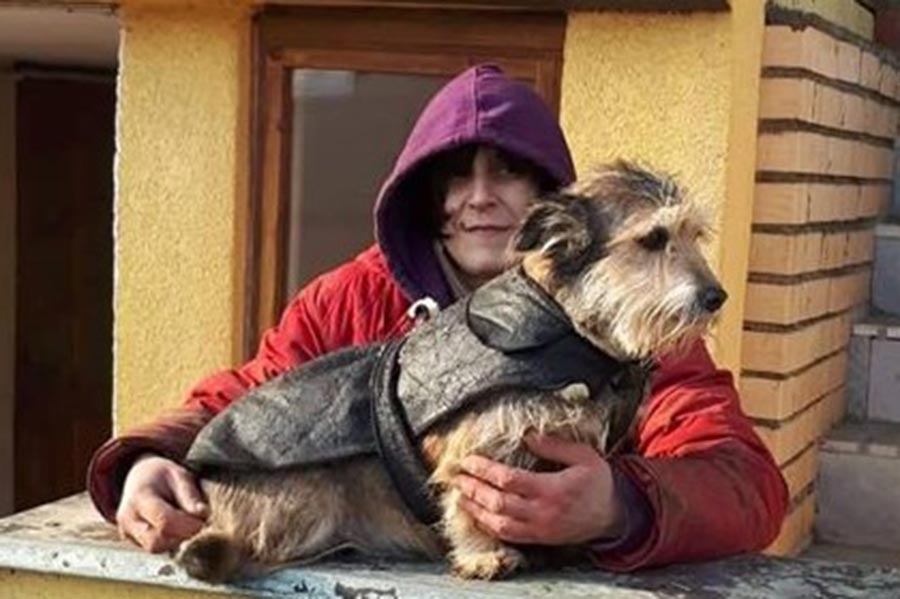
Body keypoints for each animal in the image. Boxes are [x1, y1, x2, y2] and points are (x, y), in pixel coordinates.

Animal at [174, 162, 724, 584]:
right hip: (304, 502)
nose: (716, 296)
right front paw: (485, 554)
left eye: (694, 235)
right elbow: (463, 500)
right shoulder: (478, 444)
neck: (566, 324)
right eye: (653, 239)